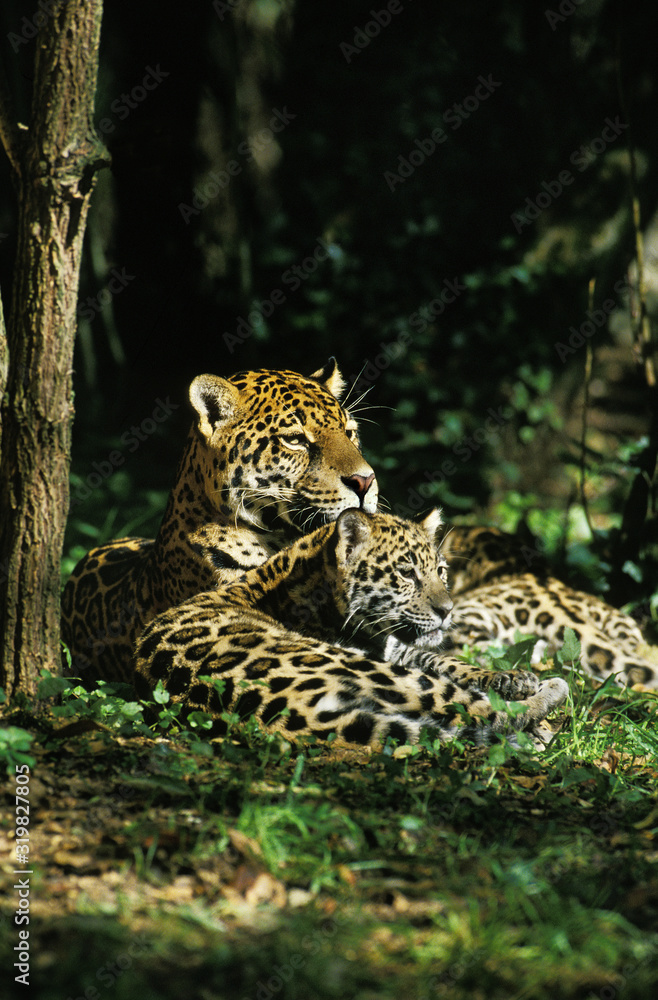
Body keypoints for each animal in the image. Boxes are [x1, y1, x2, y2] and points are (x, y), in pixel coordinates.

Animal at [134, 509, 569, 749]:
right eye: (406, 573)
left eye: (441, 571)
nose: (448, 611)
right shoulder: (382, 654)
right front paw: (527, 687)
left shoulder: (397, 648)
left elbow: (447, 661)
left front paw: (511, 677)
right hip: (364, 670)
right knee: (475, 711)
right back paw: (549, 703)